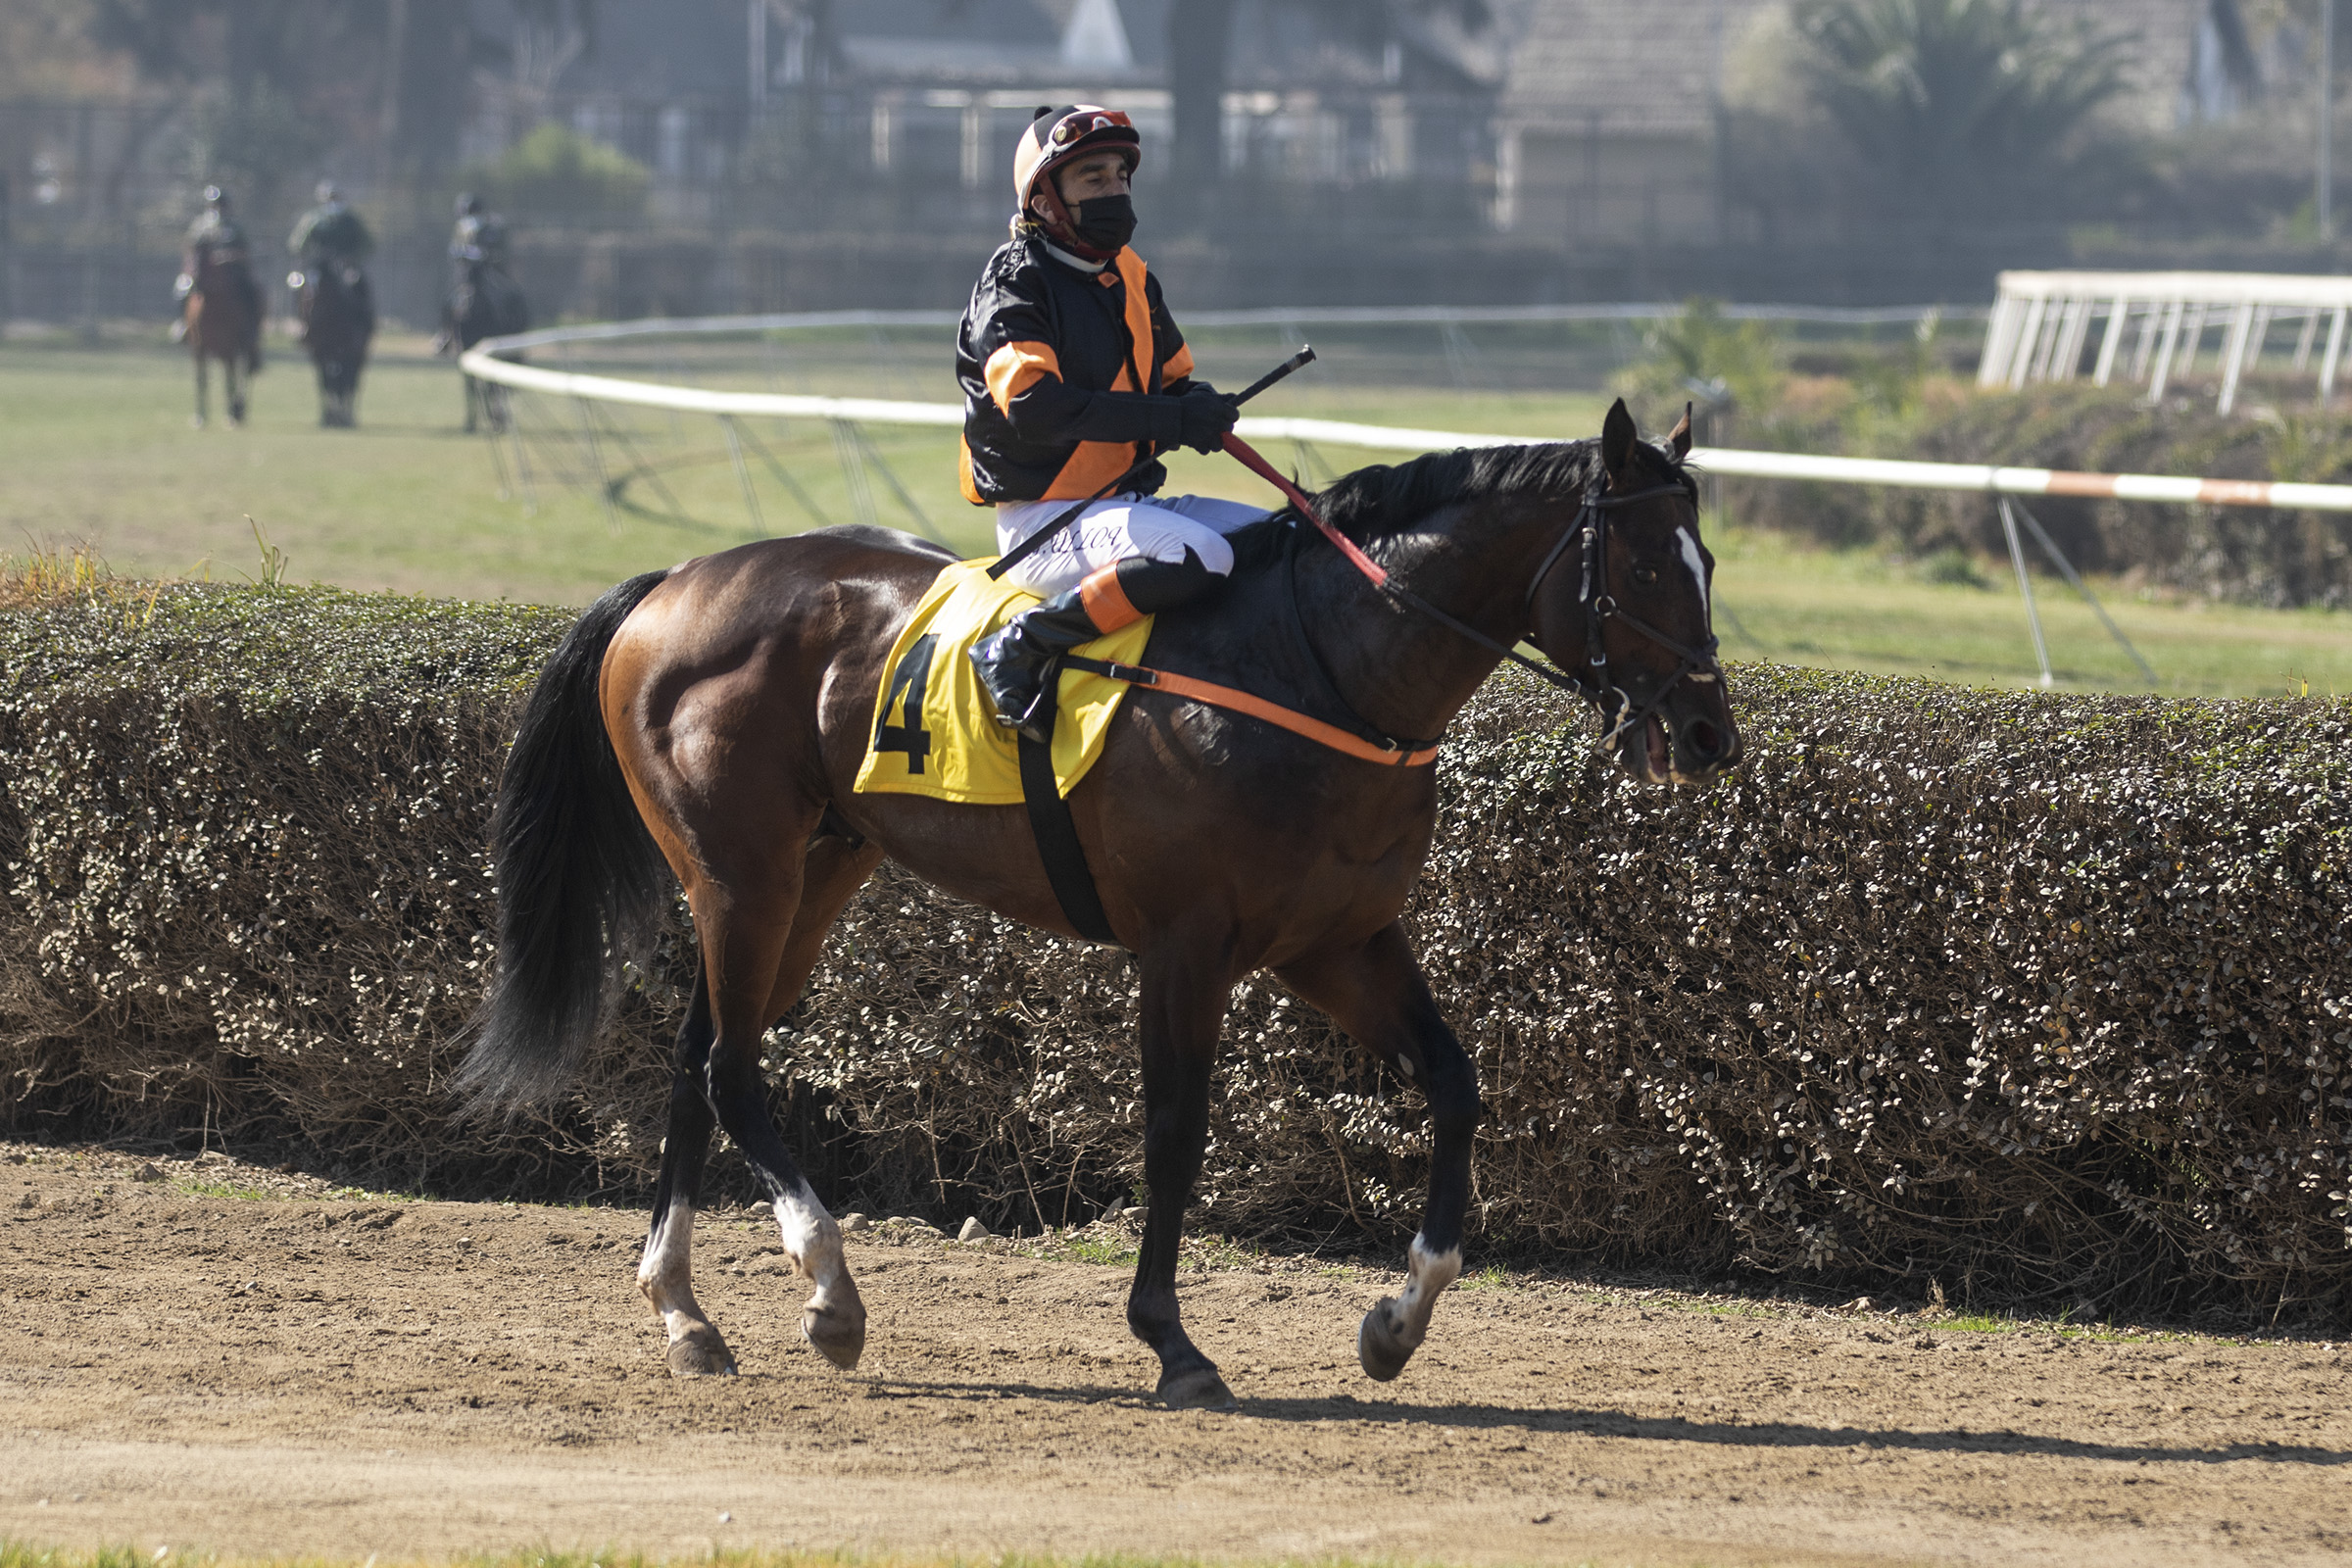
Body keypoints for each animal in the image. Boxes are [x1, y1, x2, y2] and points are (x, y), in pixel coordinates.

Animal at [184, 249, 262, 429]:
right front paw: (200, 417)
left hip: (241, 347)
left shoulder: (229, 348)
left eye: (205, 259)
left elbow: (230, 381)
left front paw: (231, 415)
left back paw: (239, 409)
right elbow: (201, 381)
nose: (192, 284)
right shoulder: (199, 349)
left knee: (244, 371)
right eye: (189, 259)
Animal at [293, 260, 375, 428]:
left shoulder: (349, 353)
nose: (312, 317)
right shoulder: (319, 353)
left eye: (324, 286)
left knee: (352, 382)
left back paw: (348, 416)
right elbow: (325, 382)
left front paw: (343, 417)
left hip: (359, 355)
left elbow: (346, 382)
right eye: (304, 289)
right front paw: (327, 417)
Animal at [438, 263, 529, 433]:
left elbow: (491, 384)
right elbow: (475, 384)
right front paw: (475, 422)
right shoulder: (467, 351)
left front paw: (497, 418)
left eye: (474, 292)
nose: (462, 311)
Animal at [457, 399, 1742, 1410]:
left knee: (697, 1052)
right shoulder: (1185, 948)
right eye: (1642, 567)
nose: (1706, 735)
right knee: (727, 1066)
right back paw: (828, 1290)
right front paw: (1173, 1345)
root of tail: (671, 584)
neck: (1319, 664)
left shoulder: (1338, 940)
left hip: (816, 868)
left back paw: (686, 1312)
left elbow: (1457, 1086)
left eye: (1710, 563)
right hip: (740, 869)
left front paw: (1395, 1320)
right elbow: (1173, 1134)